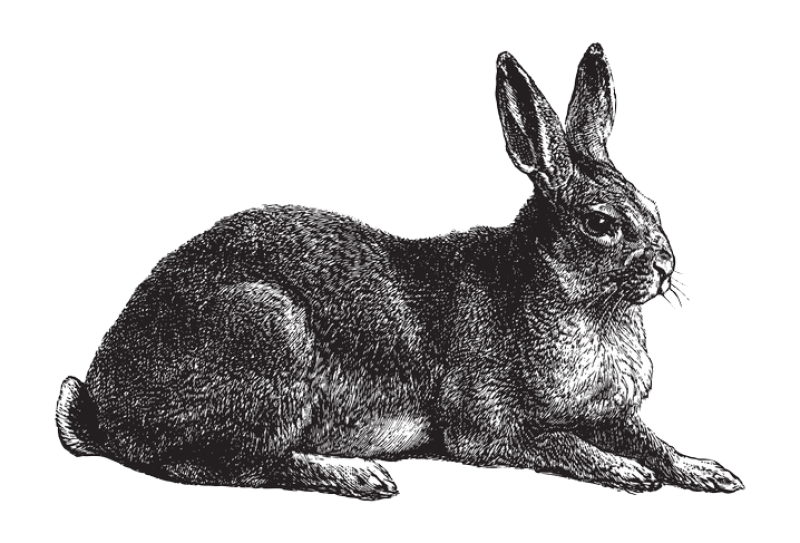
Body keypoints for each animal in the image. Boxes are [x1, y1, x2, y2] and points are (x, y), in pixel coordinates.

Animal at [55, 42, 744, 500]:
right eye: (600, 223)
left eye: (654, 206)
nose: (666, 267)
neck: (572, 295)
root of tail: (103, 404)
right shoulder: (488, 427)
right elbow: (560, 444)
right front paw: (627, 474)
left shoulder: (614, 414)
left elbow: (653, 439)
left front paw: (709, 472)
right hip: (267, 334)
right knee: (230, 466)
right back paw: (363, 477)